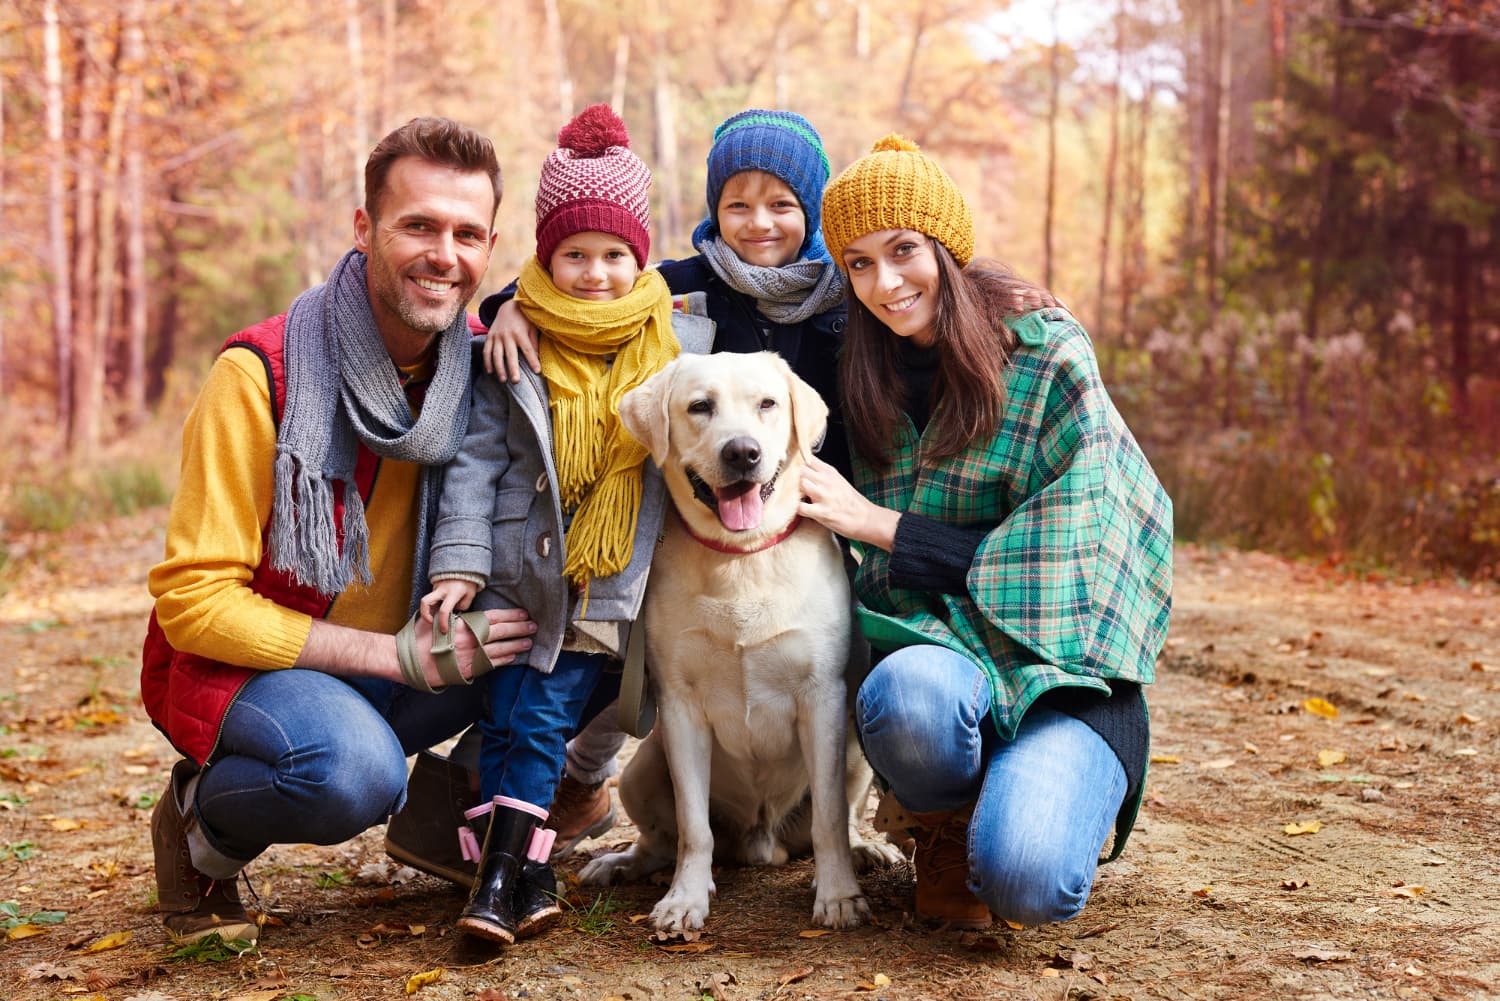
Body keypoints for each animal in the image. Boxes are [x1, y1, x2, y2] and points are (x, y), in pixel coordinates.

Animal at [579, 351, 888, 930]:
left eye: (767, 403)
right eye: (700, 406)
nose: (743, 452)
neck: (742, 558)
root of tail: (761, 842)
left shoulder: (823, 698)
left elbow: (830, 818)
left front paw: (838, 894)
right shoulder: (679, 707)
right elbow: (692, 827)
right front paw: (685, 899)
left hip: (856, 748)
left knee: (842, 819)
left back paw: (865, 850)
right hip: (642, 767)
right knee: (661, 841)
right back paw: (620, 863)